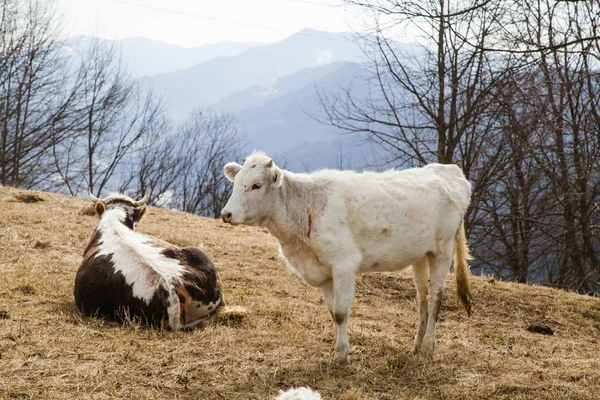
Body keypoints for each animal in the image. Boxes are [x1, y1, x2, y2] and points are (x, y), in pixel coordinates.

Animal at [221, 151, 474, 362]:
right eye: (236, 182)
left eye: (256, 185)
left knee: (435, 298)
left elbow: (341, 313)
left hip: (442, 251)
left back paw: (428, 348)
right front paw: (340, 350)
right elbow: (333, 313)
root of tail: (449, 170)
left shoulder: (344, 264)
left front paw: (341, 355)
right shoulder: (324, 272)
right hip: (420, 255)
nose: (226, 214)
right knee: (422, 297)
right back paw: (416, 346)